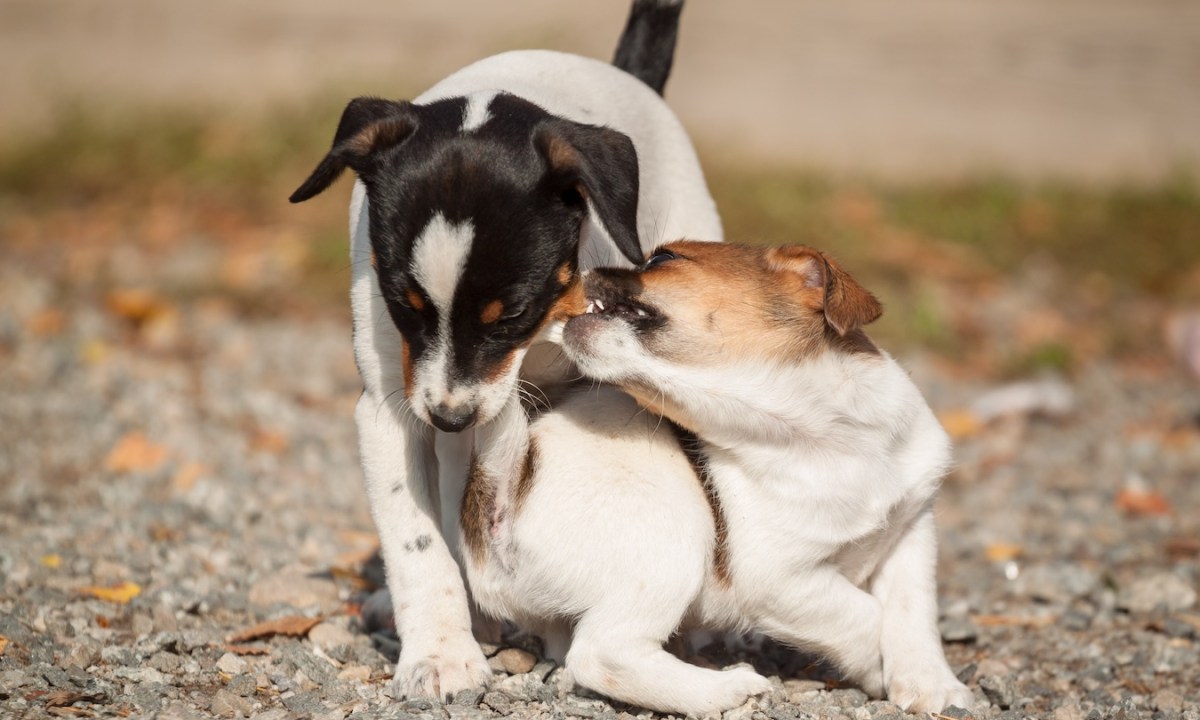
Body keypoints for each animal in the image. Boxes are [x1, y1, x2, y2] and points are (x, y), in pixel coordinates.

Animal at [290, 0, 720, 700]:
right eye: (403, 304)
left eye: (512, 314)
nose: (450, 417)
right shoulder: (393, 406)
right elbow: (417, 539)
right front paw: (440, 650)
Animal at [552, 243, 974, 715]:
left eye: (662, 258)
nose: (570, 274)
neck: (822, 441)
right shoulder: (778, 579)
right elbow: (865, 615)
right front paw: (873, 671)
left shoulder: (910, 531)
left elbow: (911, 613)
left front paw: (931, 685)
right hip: (674, 540)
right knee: (602, 654)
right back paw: (724, 689)